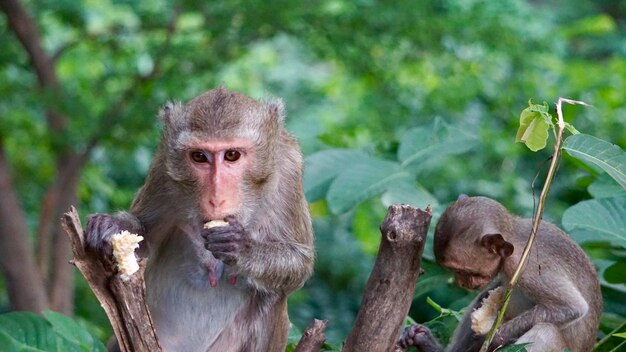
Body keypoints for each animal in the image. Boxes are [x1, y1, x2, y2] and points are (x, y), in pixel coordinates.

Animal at [85, 86, 314, 350]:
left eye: (232, 155)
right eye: (199, 157)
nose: (216, 198)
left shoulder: (289, 167)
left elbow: (300, 262)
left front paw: (242, 249)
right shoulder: (164, 166)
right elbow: (145, 239)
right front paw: (111, 227)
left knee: (272, 295)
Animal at [400, 195, 600, 352]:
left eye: (460, 271)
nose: (460, 283)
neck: (514, 239)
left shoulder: (526, 266)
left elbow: (572, 308)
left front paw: (486, 340)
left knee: (546, 332)